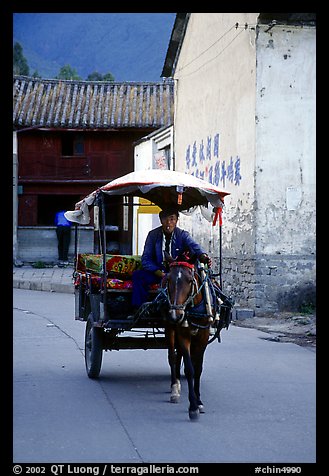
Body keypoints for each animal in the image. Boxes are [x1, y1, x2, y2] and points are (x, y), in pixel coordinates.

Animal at [162, 253, 215, 420]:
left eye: (190, 280)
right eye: (168, 280)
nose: (175, 314)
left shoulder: (203, 337)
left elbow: (198, 369)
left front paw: (199, 401)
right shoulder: (183, 335)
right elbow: (190, 369)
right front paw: (192, 407)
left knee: (179, 357)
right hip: (170, 330)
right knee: (172, 356)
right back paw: (174, 387)